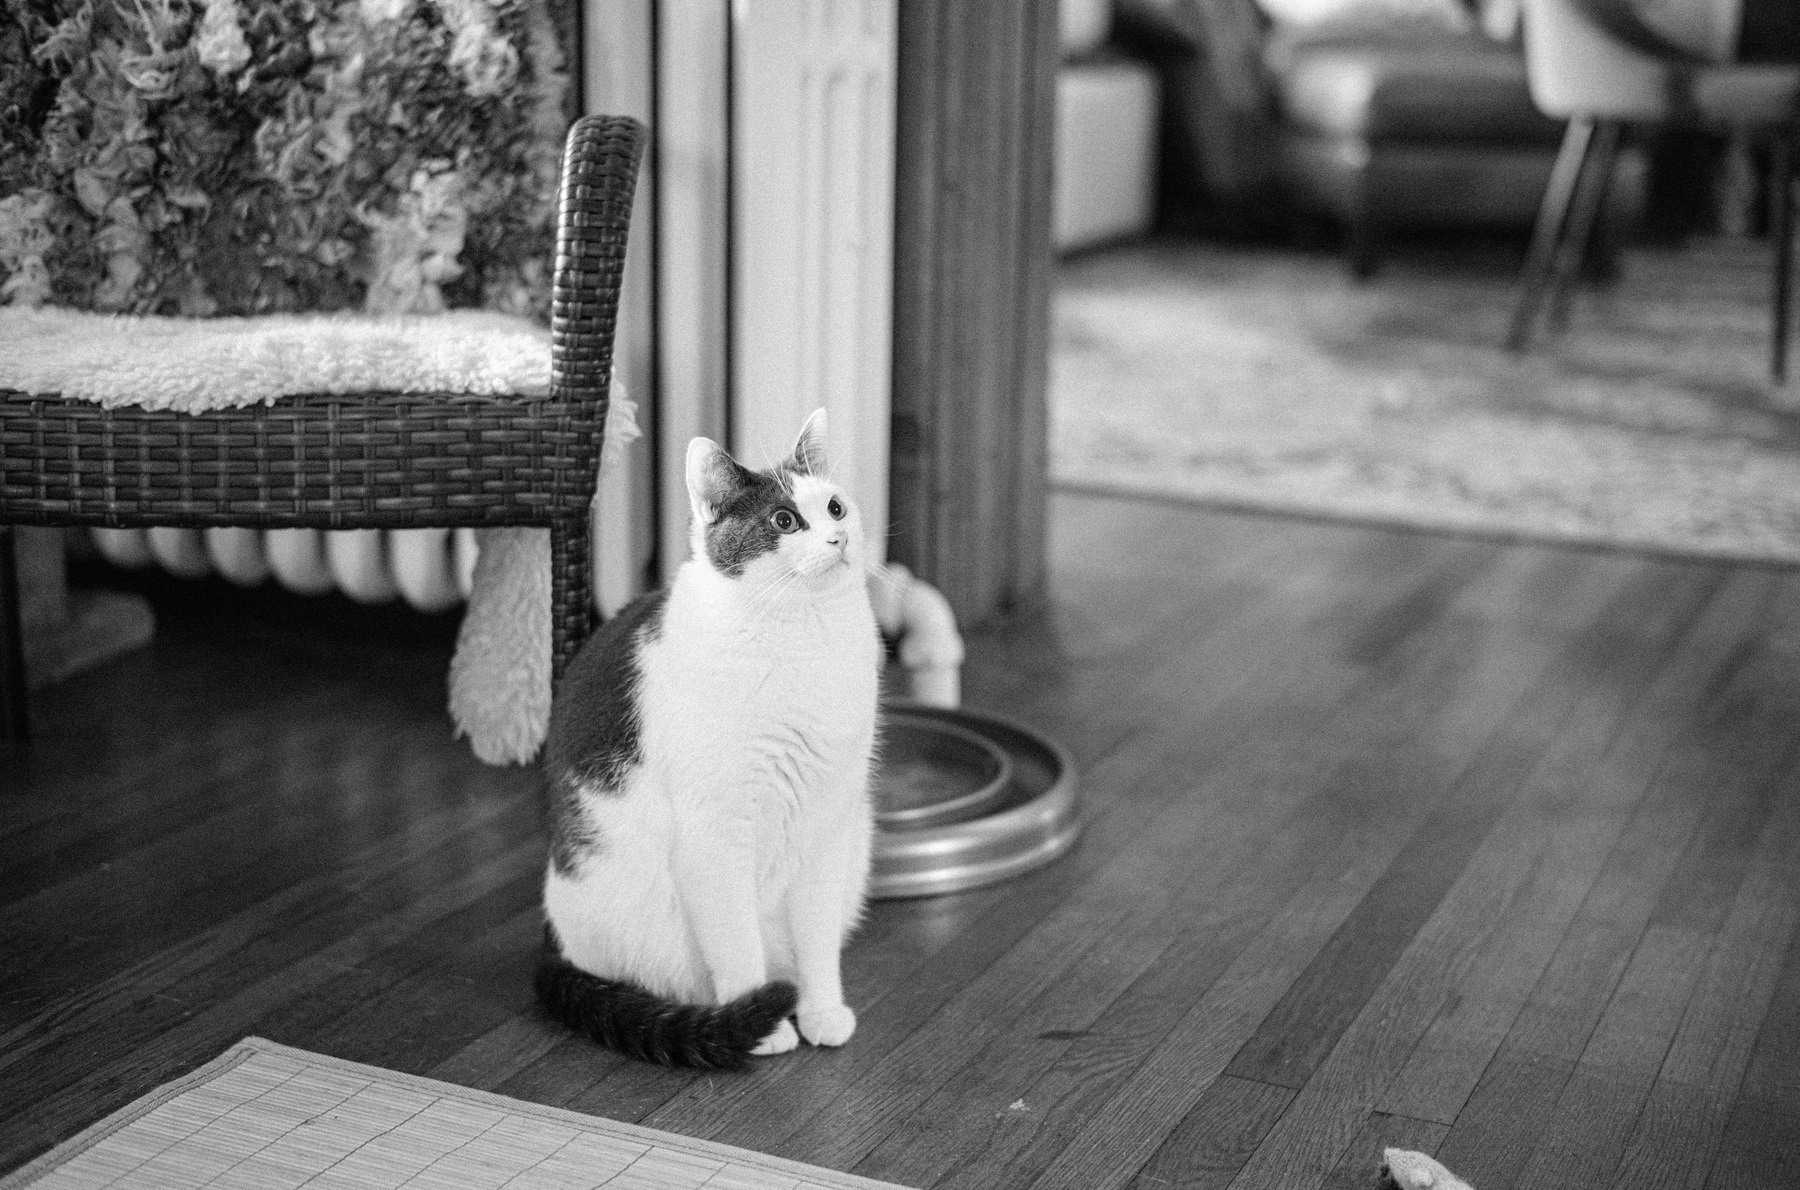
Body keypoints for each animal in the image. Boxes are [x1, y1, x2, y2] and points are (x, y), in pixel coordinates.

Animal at [529, 406, 882, 1065]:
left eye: (835, 507)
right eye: (784, 520)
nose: (839, 539)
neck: (803, 635)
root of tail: (553, 945)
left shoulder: (826, 827)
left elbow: (819, 939)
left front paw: (821, 1011)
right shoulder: (715, 835)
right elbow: (737, 944)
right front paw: (761, 1024)